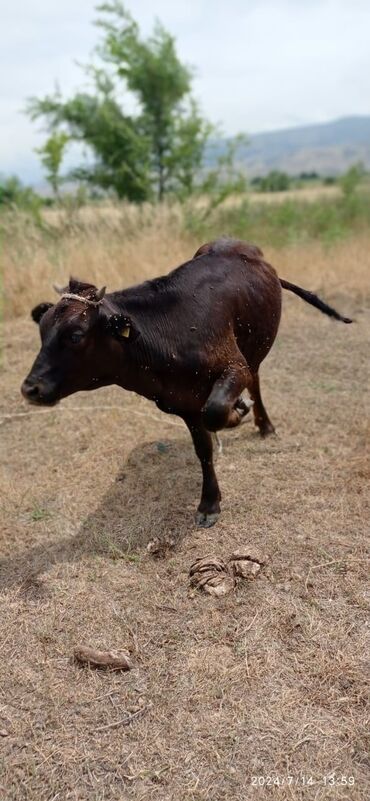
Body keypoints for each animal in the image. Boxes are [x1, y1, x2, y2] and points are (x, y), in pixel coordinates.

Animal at [21, 238, 352, 524]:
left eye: (76, 336)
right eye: (42, 331)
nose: (30, 389)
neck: (167, 336)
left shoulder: (234, 367)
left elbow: (215, 410)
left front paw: (236, 413)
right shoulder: (182, 402)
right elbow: (203, 448)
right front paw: (209, 502)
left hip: (253, 354)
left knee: (255, 380)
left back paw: (263, 423)